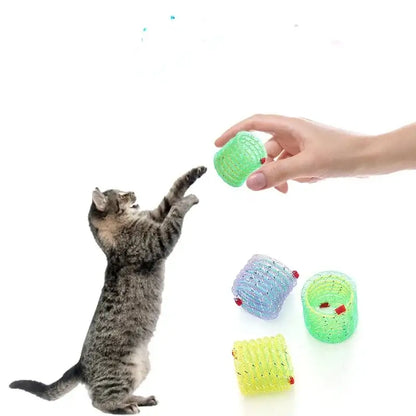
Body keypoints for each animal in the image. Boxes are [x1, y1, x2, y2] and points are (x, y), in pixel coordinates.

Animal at [8, 165, 206, 412]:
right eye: (121, 195)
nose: (133, 191)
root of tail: (80, 365)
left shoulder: (154, 216)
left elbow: (172, 193)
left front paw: (194, 173)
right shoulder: (158, 239)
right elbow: (175, 211)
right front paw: (190, 199)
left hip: (141, 368)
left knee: (123, 393)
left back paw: (141, 399)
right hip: (121, 373)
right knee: (99, 401)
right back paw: (125, 407)